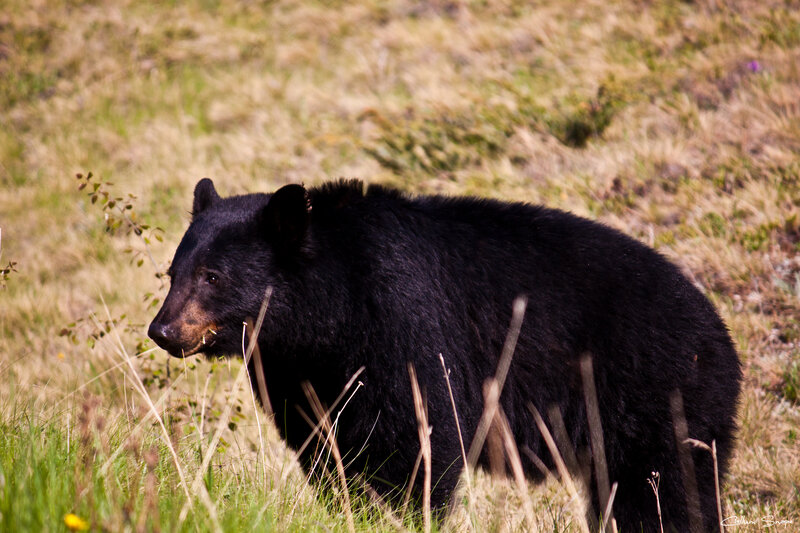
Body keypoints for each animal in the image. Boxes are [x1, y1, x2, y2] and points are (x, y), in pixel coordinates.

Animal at [148, 178, 742, 532]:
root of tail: (719, 331)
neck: (330, 311)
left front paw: (402, 513)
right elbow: (323, 442)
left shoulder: (402, 320)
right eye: (173, 271)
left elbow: (417, 433)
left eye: (213, 276)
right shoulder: (297, 370)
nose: (162, 329)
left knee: (664, 489)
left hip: (655, 391)